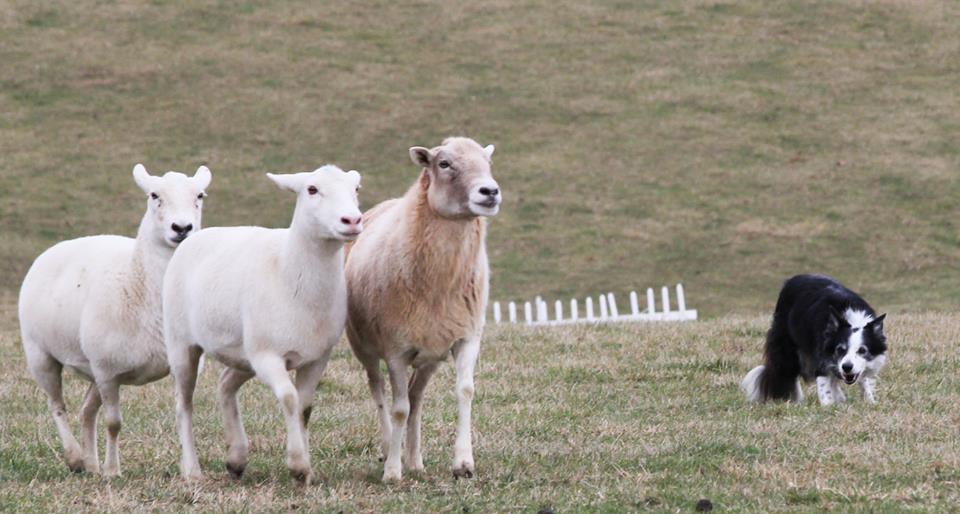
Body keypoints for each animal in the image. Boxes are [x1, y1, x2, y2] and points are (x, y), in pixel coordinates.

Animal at [163, 165, 362, 484]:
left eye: (356, 189)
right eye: (311, 189)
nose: (352, 220)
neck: (289, 271)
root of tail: (198, 235)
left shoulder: (317, 357)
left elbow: (305, 407)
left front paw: (305, 469)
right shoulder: (268, 356)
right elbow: (290, 399)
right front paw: (297, 464)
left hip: (243, 353)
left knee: (225, 384)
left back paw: (236, 457)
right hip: (183, 343)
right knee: (184, 404)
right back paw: (192, 471)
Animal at [348, 136, 506, 480]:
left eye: (488, 163)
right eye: (444, 164)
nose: (489, 192)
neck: (439, 286)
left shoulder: (466, 337)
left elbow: (465, 390)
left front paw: (463, 463)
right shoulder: (395, 349)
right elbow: (398, 409)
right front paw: (392, 472)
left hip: (430, 354)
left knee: (416, 397)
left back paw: (415, 460)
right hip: (364, 346)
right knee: (379, 390)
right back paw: (388, 449)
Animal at [744, 274, 884, 402]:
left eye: (862, 350)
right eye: (839, 349)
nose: (847, 367)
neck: (853, 320)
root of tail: (793, 279)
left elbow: (863, 379)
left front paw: (869, 401)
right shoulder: (822, 355)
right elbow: (824, 384)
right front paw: (828, 406)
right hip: (787, 347)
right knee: (785, 372)